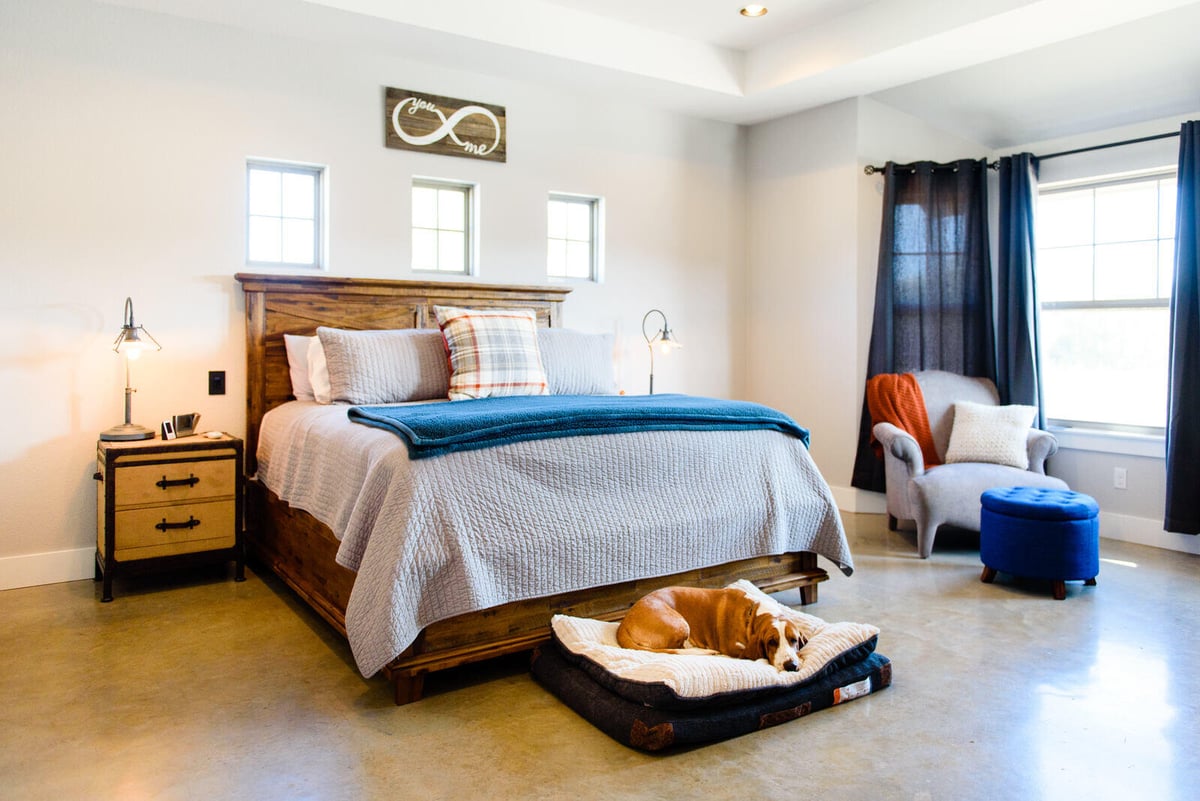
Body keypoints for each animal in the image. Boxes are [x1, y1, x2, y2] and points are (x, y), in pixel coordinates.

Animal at [619, 582, 806, 671]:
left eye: (794, 640)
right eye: (771, 642)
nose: (790, 666)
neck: (753, 615)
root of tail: (623, 623)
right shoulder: (734, 649)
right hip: (680, 624)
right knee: (679, 648)